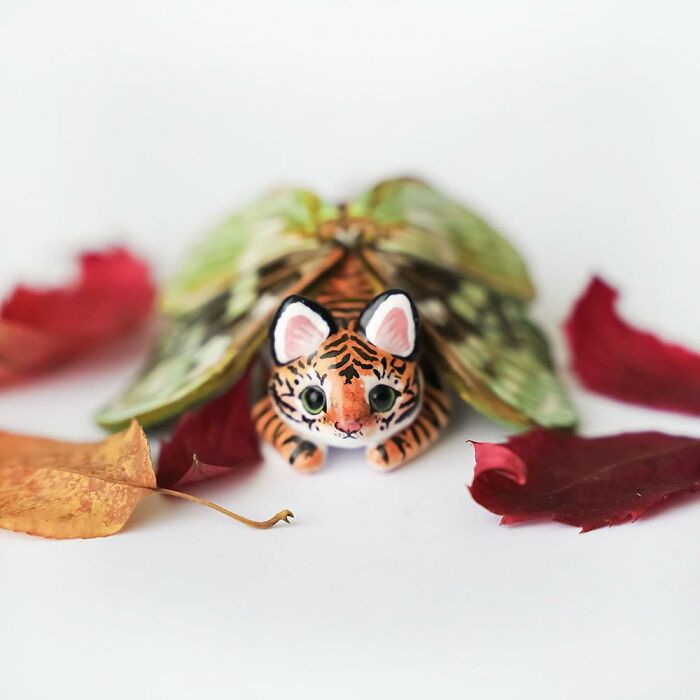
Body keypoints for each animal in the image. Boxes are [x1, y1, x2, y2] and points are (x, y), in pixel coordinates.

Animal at [252, 256, 450, 472]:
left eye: (383, 397)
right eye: (313, 399)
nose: (348, 427)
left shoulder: (437, 400)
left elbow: (406, 438)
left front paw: (383, 450)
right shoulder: (260, 404)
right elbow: (292, 442)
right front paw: (306, 450)